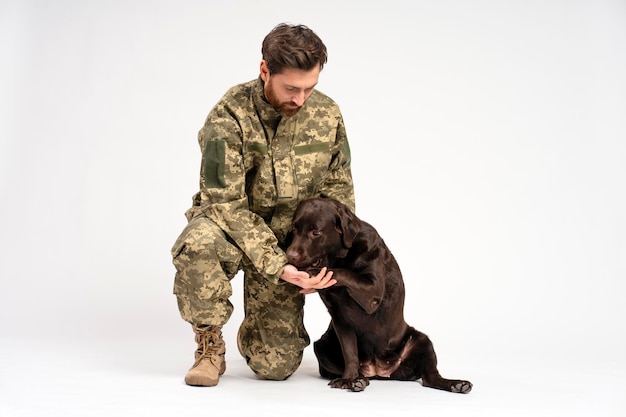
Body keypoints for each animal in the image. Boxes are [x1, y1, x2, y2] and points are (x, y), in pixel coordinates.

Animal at [286, 197, 470, 392]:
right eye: (294, 229)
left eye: (316, 232)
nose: (290, 255)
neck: (341, 256)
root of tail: (379, 370)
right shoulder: (340, 319)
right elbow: (350, 352)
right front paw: (349, 378)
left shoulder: (372, 290)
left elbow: (344, 272)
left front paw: (314, 272)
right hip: (322, 345)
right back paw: (359, 379)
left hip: (422, 340)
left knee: (431, 377)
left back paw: (457, 384)